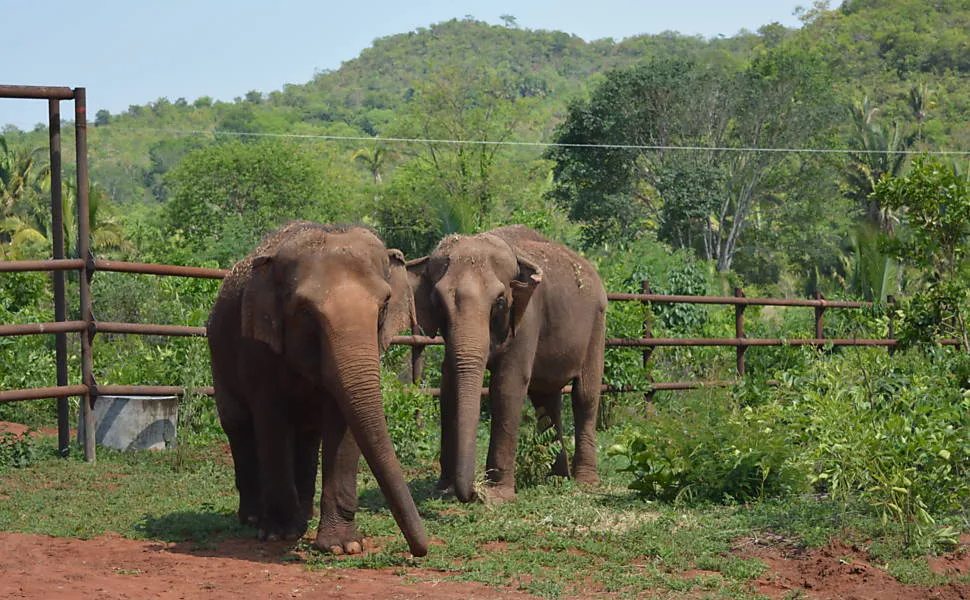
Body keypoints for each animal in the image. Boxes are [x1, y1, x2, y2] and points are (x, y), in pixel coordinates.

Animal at [207, 220, 429, 556]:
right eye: (305, 312)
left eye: (384, 306)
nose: (420, 550)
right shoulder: (258, 349)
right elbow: (271, 422)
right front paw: (280, 534)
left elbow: (343, 422)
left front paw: (343, 546)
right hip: (219, 359)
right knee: (238, 424)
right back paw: (254, 518)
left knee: (308, 435)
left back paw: (306, 515)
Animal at [407, 225, 607, 503]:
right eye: (438, 302)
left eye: (500, 301)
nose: (472, 492)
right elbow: (448, 387)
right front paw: (444, 489)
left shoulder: (528, 317)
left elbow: (507, 386)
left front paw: (497, 495)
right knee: (545, 399)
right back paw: (556, 479)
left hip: (597, 325)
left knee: (585, 396)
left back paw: (585, 482)